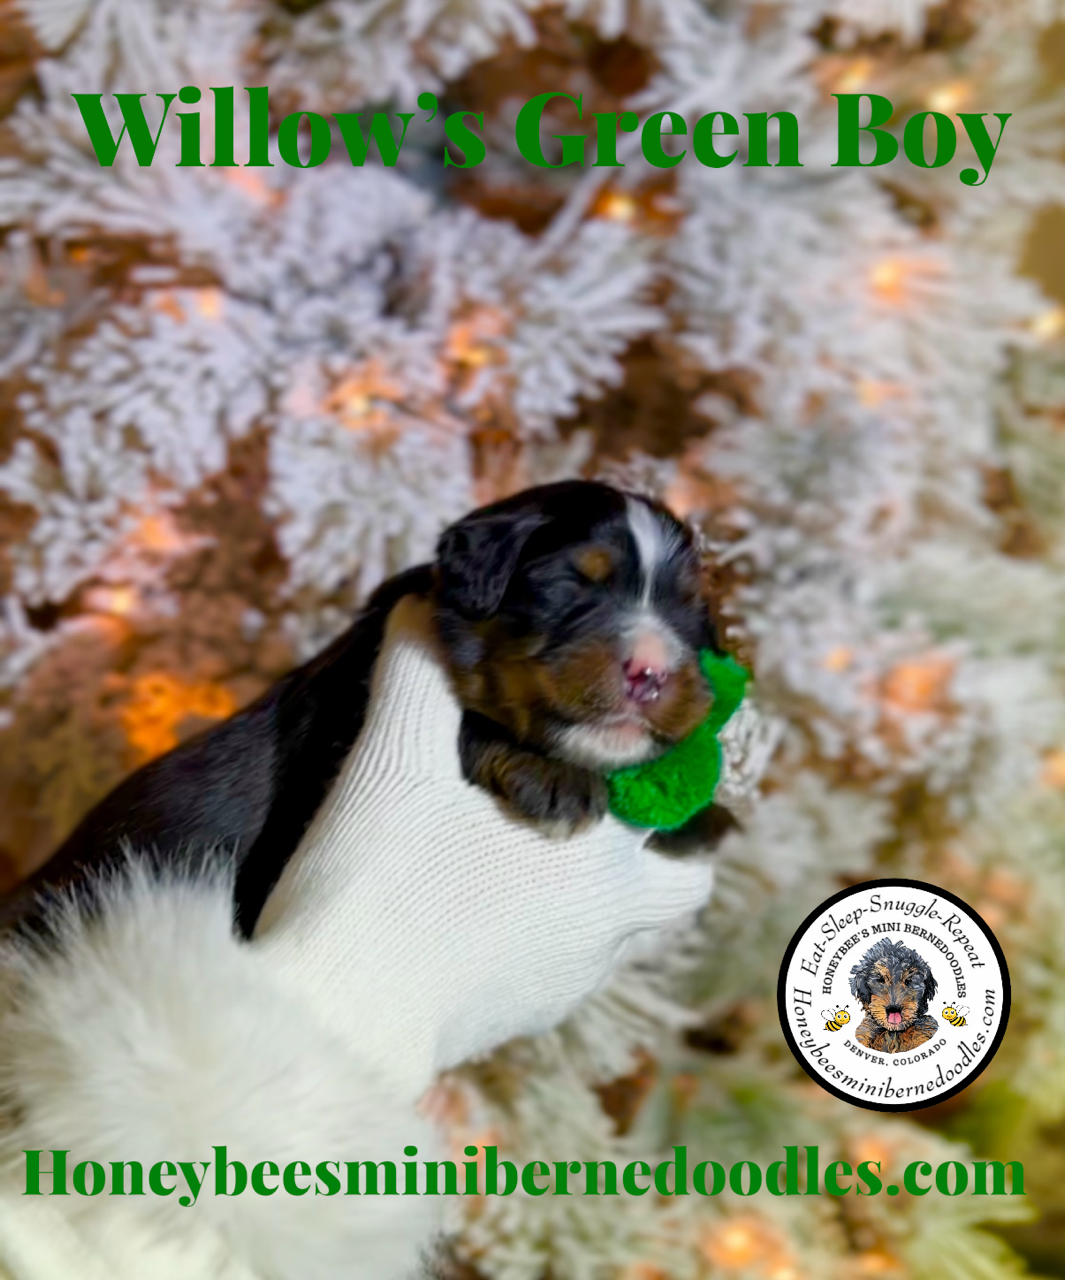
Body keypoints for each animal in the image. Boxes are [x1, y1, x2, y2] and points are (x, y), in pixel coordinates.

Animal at [2, 480, 734, 939]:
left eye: (689, 607)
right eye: (572, 583)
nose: (650, 670)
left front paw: (703, 815)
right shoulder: (340, 723)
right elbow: (470, 721)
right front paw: (553, 779)